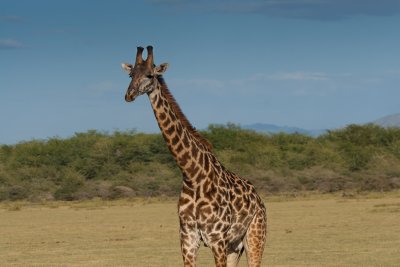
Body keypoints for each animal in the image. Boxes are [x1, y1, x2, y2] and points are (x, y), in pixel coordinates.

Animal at [120, 46, 268, 267]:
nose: (129, 95)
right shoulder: (188, 237)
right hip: (235, 245)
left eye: (149, 75)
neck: (192, 175)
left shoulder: (217, 238)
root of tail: (259, 200)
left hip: (255, 236)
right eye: (131, 75)